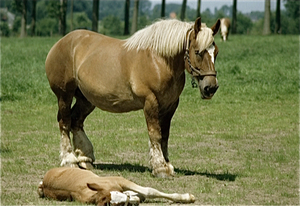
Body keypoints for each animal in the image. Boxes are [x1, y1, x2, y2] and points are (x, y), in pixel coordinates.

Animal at [46, 17, 220, 178]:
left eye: (216, 52)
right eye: (197, 52)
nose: (211, 88)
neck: (158, 61)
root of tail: (60, 43)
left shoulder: (170, 105)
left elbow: (165, 135)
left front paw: (167, 165)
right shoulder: (150, 102)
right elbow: (155, 133)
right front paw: (160, 168)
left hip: (86, 99)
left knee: (76, 121)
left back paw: (85, 159)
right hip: (65, 95)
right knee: (65, 123)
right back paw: (69, 160)